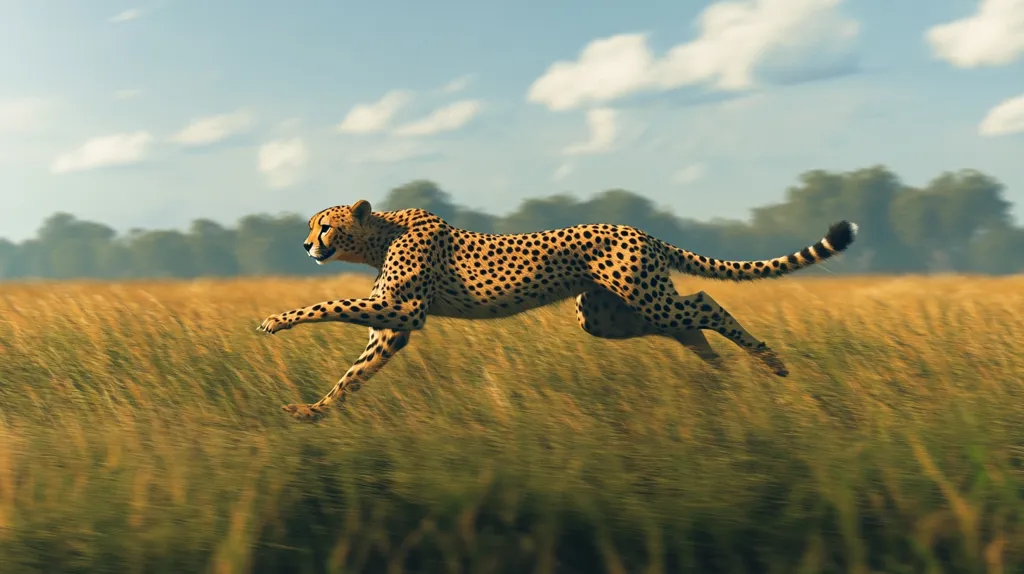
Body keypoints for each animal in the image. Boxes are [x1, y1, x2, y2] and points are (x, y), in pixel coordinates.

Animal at [258, 199, 858, 421]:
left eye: (325, 226)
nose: (308, 246)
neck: (380, 233)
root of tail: (641, 230)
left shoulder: (401, 310)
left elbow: (328, 304)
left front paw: (273, 322)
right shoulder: (393, 326)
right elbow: (354, 374)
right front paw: (313, 411)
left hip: (644, 297)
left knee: (705, 303)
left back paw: (769, 362)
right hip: (603, 314)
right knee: (689, 321)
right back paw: (722, 368)